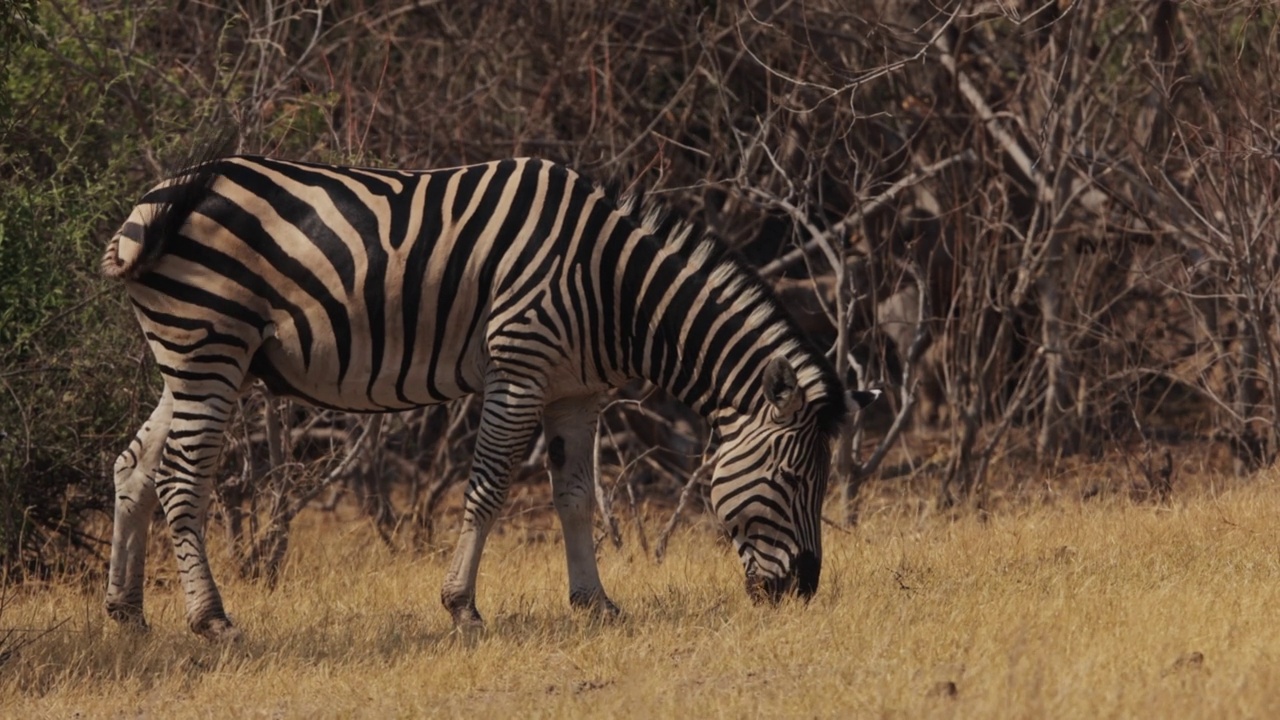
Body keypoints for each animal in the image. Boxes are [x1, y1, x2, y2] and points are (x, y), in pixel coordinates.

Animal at [99, 152, 880, 638]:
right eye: (793, 479)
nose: (804, 592)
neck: (614, 287)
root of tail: (168, 192)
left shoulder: (576, 395)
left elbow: (575, 498)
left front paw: (595, 603)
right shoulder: (519, 368)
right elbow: (488, 488)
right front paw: (462, 608)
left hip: (193, 358)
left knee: (135, 466)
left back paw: (127, 612)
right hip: (209, 345)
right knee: (182, 478)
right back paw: (210, 619)